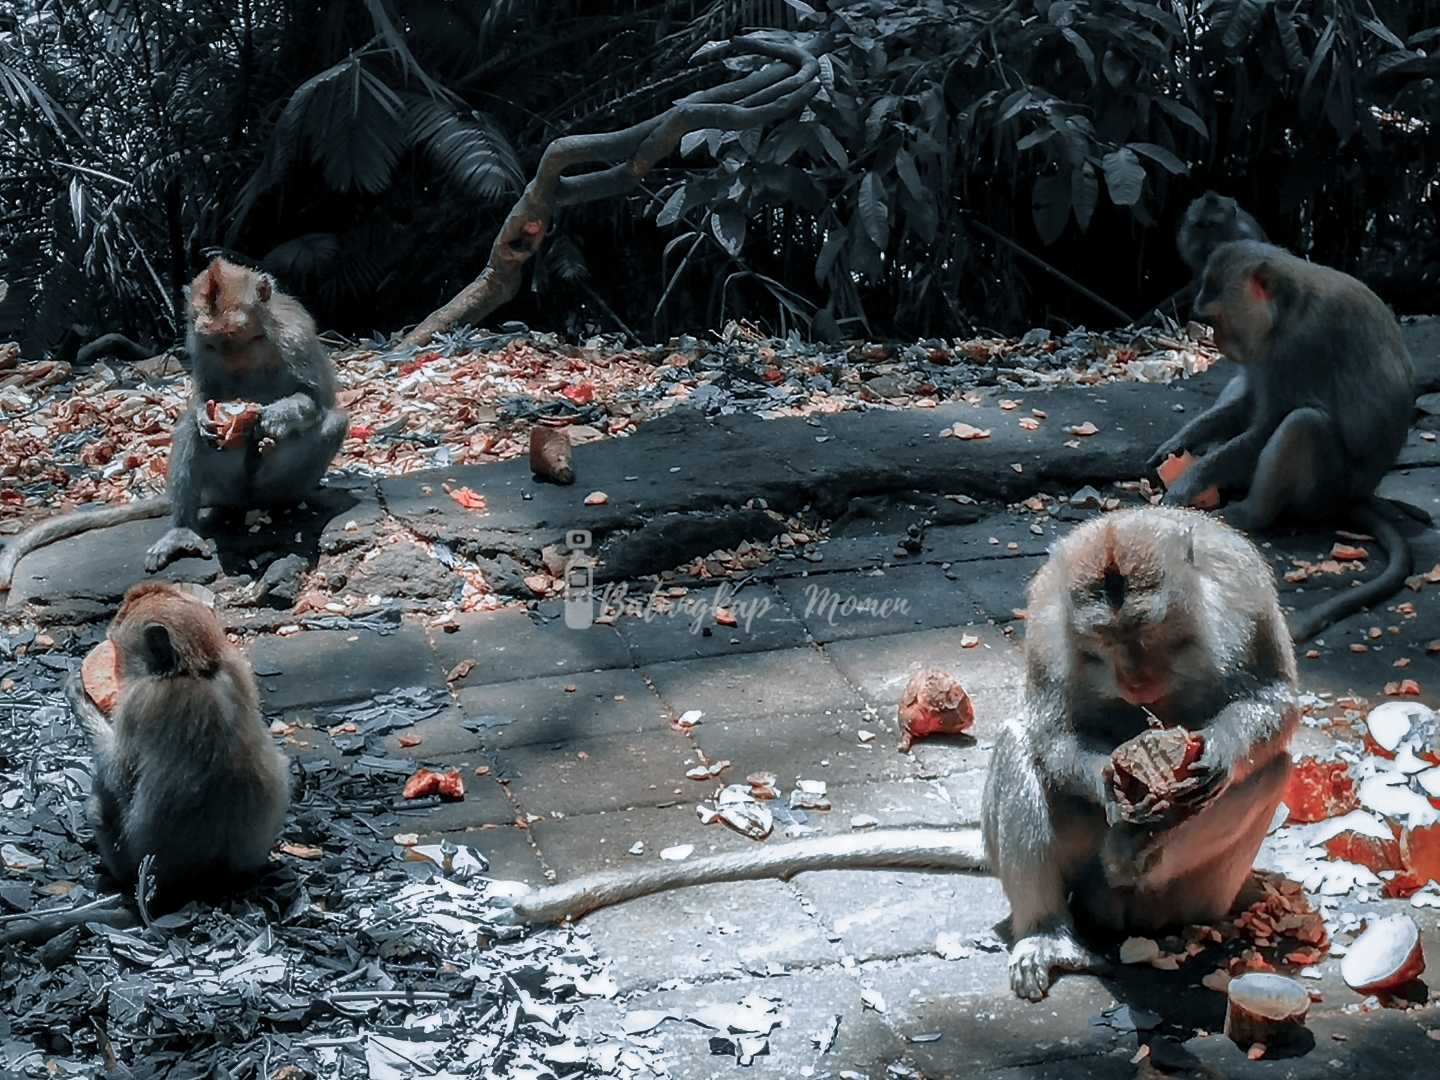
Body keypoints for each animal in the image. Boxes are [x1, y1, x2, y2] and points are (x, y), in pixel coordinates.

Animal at [0, 258, 348, 592]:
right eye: (213, 343)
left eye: (235, 336)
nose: (230, 357)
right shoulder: (196, 345)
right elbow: (204, 400)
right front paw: (206, 416)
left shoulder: (295, 337)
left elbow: (315, 399)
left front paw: (272, 419)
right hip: (224, 486)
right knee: (190, 433)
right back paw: (182, 530)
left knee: (335, 423)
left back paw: (276, 488)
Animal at [484, 509, 1296, 1002]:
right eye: (1104, 645)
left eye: (1147, 636)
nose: (1133, 679)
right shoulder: (1048, 615)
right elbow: (1047, 728)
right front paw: (1111, 783)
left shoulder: (1242, 591)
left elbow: (1275, 706)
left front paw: (1209, 761)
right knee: (1017, 745)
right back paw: (1054, 927)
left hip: (1200, 894)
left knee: (1274, 771)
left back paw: (1145, 863)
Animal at [1148, 240, 1417, 641]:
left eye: (1216, 320)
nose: (1216, 342)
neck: (1286, 307)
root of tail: (1357, 496)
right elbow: (1248, 401)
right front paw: (1178, 445)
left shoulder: (1298, 345)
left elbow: (1270, 423)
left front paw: (1187, 483)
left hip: (1325, 492)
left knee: (1303, 424)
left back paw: (1247, 514)